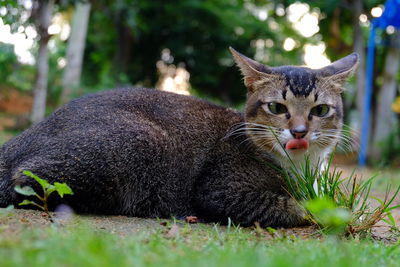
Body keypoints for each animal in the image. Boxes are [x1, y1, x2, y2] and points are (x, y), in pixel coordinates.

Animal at [0, 48, 358, 228]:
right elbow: (297, 207)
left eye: (320, 110)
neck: (301, 168)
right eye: (276, 107)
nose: (299, 131)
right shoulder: (222, 190)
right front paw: (325, 213)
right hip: (140, 139)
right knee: (30, 183)